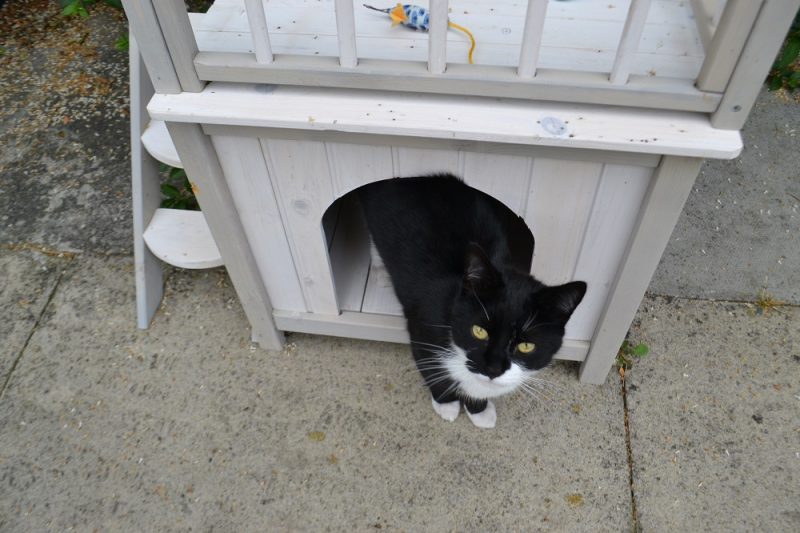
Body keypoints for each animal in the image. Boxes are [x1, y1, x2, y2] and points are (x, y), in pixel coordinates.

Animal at [358, 175, 588, 428]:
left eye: (526, 346)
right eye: (479, 331)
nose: (493, 369)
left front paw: (479, 410)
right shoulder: (423, 328)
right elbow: (432, 369)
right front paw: (447, 403)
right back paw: (380, 272)